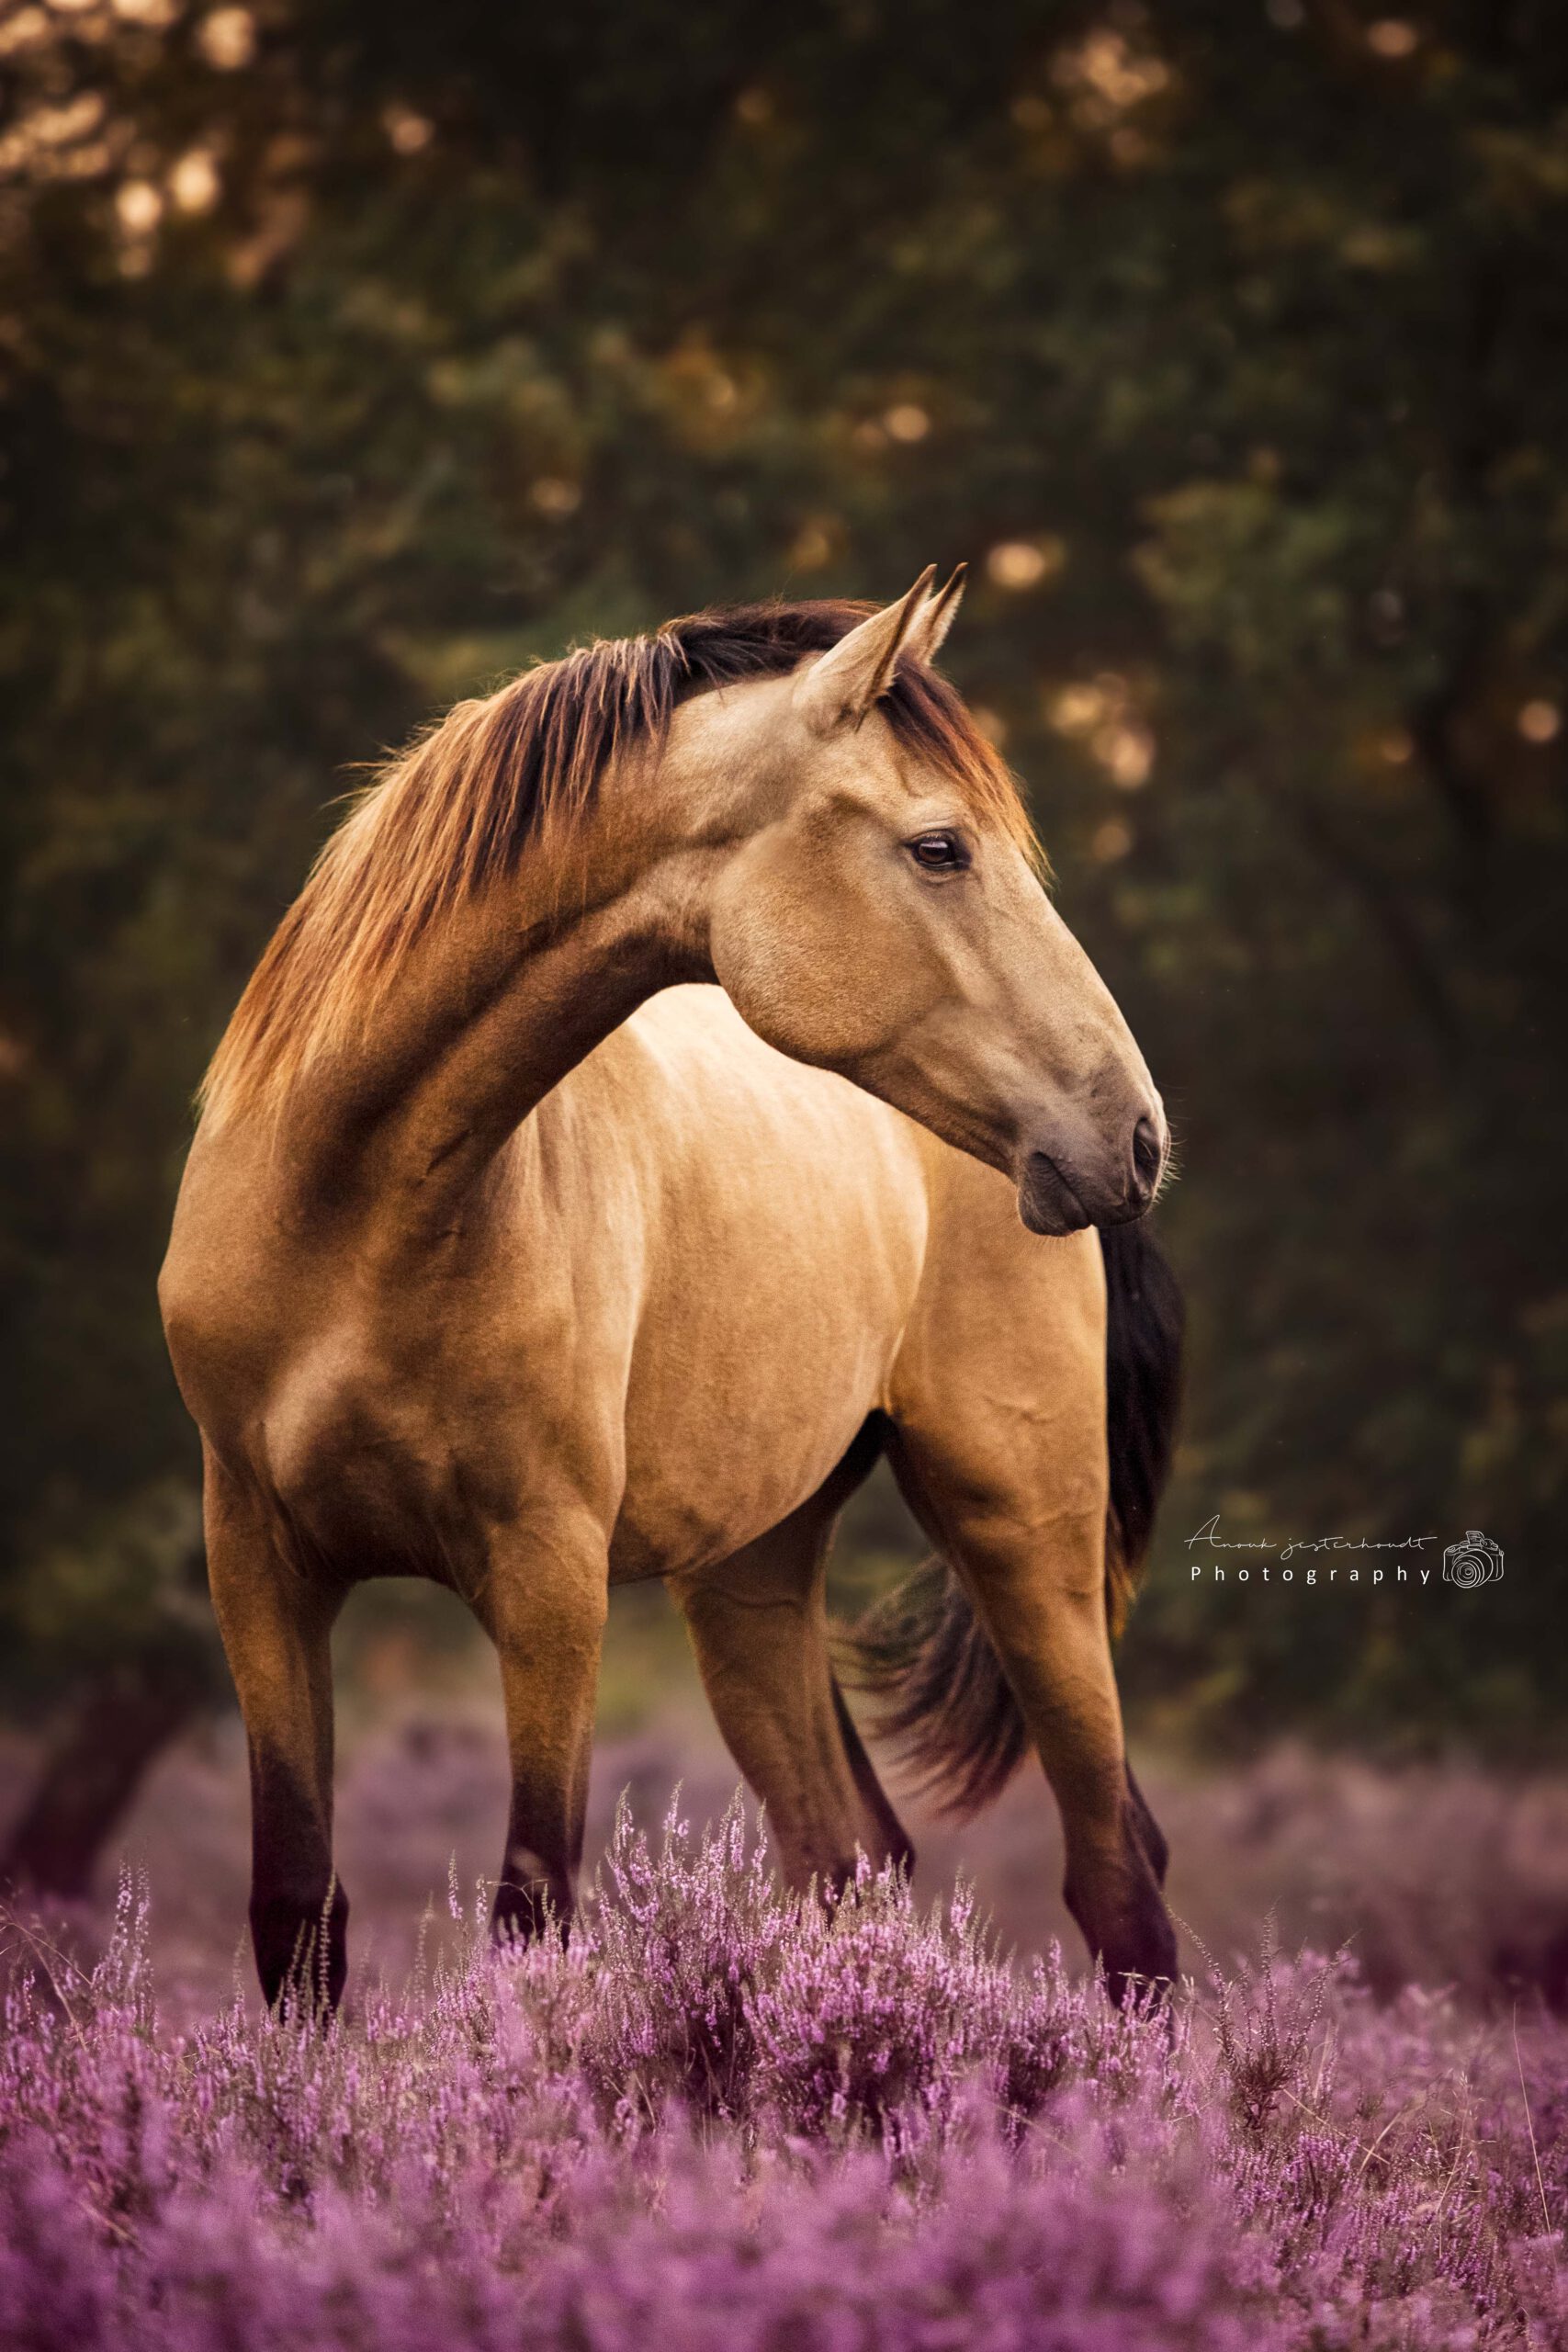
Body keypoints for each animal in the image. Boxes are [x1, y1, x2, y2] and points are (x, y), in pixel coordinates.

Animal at [159, 567, 1181, 2012]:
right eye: (940, 848)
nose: (1131, 1133)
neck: (354, 1213)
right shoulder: (257, 1558)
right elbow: (297, 1912)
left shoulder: (548, 1576)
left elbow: (532, 1907)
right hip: (753, 1574)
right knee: (847, 1853)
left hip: (1023, 1530)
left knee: (1117, 1882)